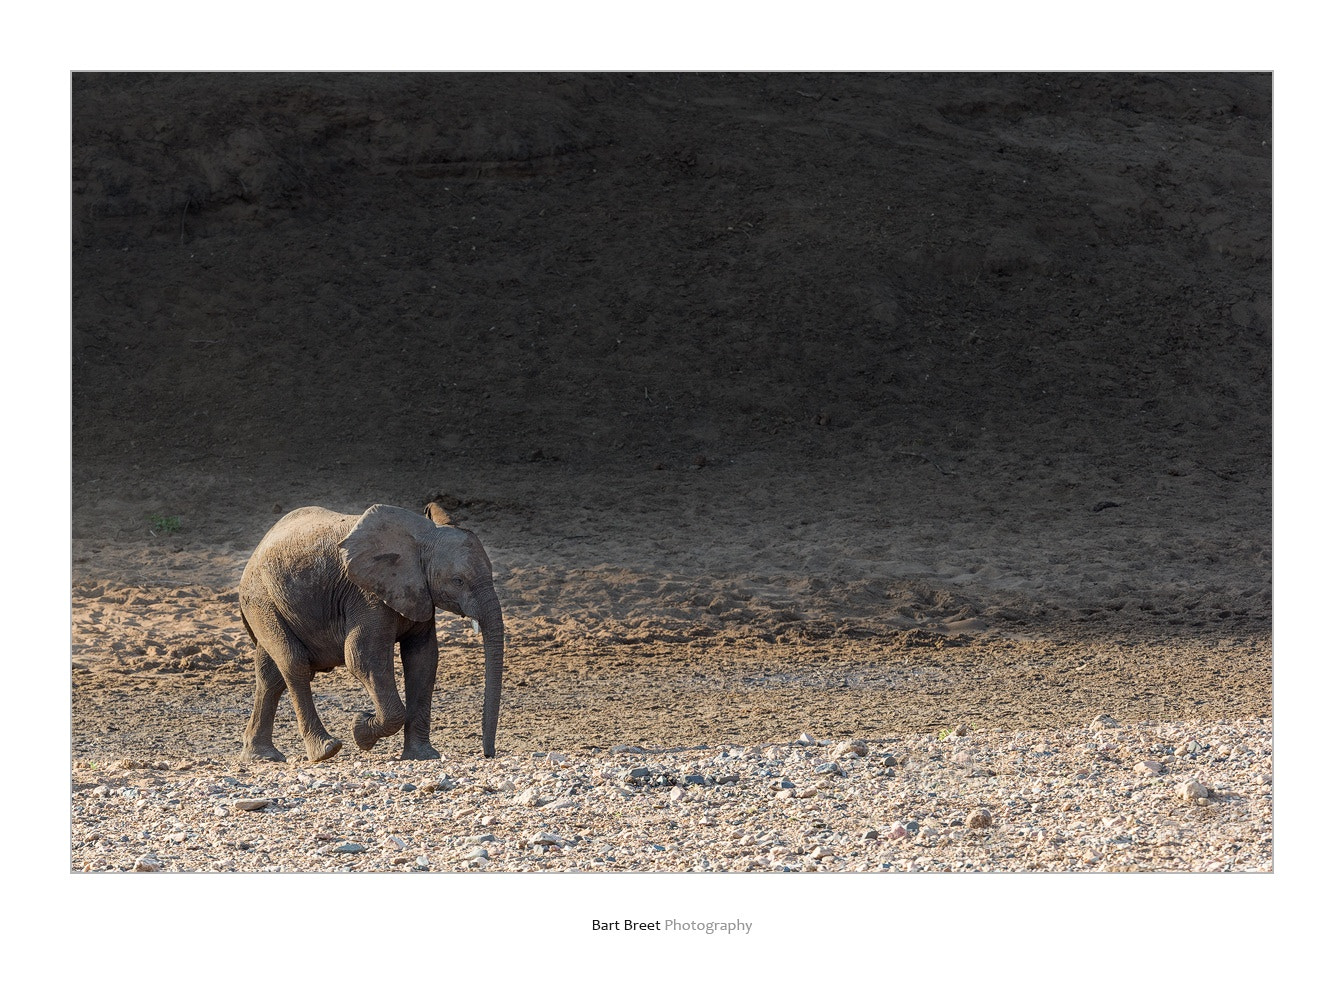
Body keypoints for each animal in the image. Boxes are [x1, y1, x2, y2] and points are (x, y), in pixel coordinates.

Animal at [236, 502, 505, 763]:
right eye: (458, 580)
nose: (488, 754)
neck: (422, 536)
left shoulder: (418, 593)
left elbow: (423, 660)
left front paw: (423, 756)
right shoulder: (367, 594)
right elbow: (363, 658)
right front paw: (360, 729)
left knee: (271, 676)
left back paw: (262, 756)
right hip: (262, 599)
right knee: (294, 664)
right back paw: (325, 750)